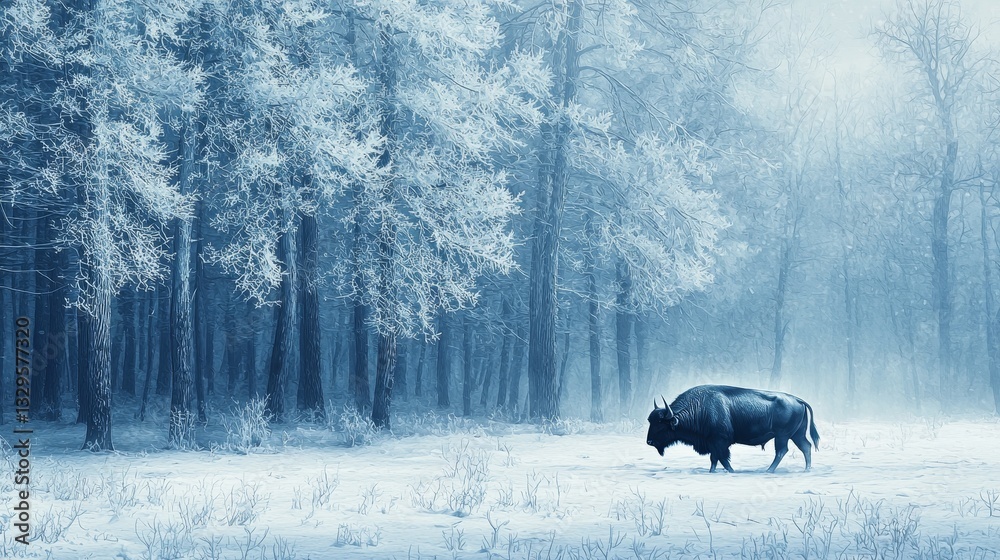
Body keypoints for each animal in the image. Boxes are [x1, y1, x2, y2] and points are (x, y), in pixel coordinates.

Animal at [646, 385, 820, 473]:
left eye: (660, 423)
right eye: (650, 421)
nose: (649, 441)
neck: (699, 407)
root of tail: (797, 399)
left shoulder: (720, 441)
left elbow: (722, 458)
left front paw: (731, 471)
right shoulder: (712, 442)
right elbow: (714, 459)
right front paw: (712, 472)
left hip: (782, 435)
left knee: (782, 450)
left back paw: (769, 470)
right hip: (796, 434)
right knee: (806, 446)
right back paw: (806, 469)